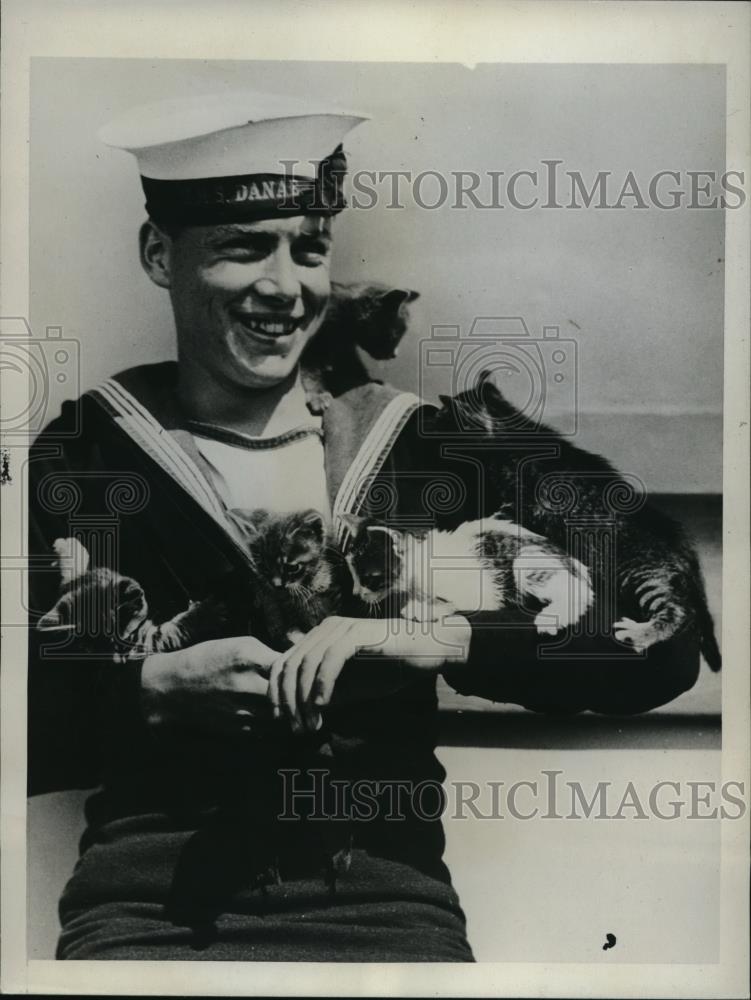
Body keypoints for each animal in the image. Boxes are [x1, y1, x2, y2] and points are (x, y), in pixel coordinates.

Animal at [37, 536, 225, 660]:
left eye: (120, 633)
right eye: (88, 647)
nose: (116, 656)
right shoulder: (143, 641)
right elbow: (173, 631)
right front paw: (207, 613)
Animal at [300, 280, 420, 412]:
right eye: (395, 336)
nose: (395, 354)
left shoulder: (347, 348)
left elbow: (355, 366)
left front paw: (373, 381)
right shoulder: (313, 343)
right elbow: (311, 369)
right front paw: (318, 394)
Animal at [434, 372, 724, 668]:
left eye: (443, 417)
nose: (430, 418)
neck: (513, 434)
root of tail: (684, 548)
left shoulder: (521, 506)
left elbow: (502, 517)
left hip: (642, 575)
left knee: (681, 611)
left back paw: (641, 633)